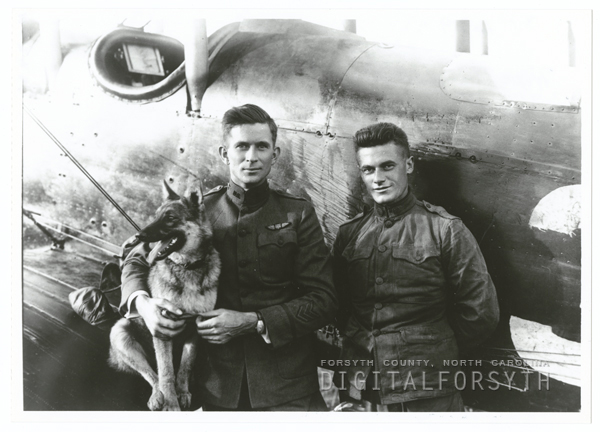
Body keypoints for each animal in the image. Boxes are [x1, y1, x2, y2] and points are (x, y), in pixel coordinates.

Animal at [108, 182, 220, 412]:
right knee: (152, 374)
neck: (187, 267)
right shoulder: (162, 331)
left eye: (170, 218)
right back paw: (156, 395)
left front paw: (183, 392)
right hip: (121, 332)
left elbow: (185, 366)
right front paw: (171, 404)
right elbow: (166, 373)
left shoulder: (195, 331)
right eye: (156, 216)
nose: (138, 236)